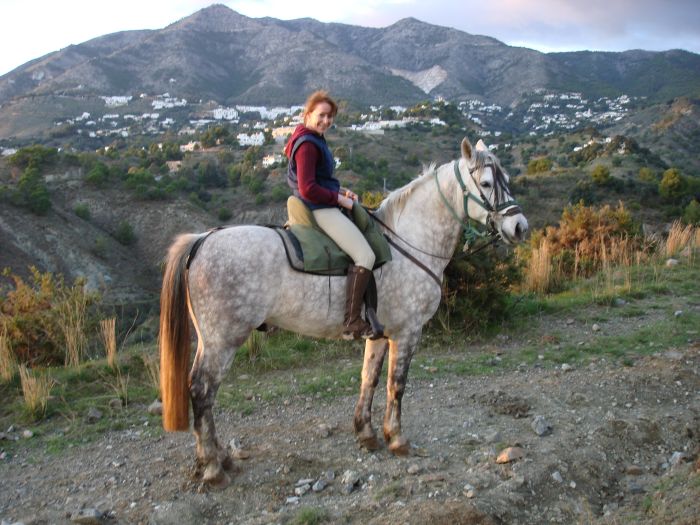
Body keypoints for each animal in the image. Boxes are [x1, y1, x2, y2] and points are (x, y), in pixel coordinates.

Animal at [159, 137, 528, 486]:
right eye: (485, 183)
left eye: (506, 179)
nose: (520, 227)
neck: (408, 242)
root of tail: (202, 240)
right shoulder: (408, 332)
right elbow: (397, 384)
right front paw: (397, 439)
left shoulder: (379, 333)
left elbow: (370, 378)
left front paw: (367, 433)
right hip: (223, 341)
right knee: (202, 391)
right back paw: (212, 467)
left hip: (210, 340)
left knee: (203, 393)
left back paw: (221, 458)